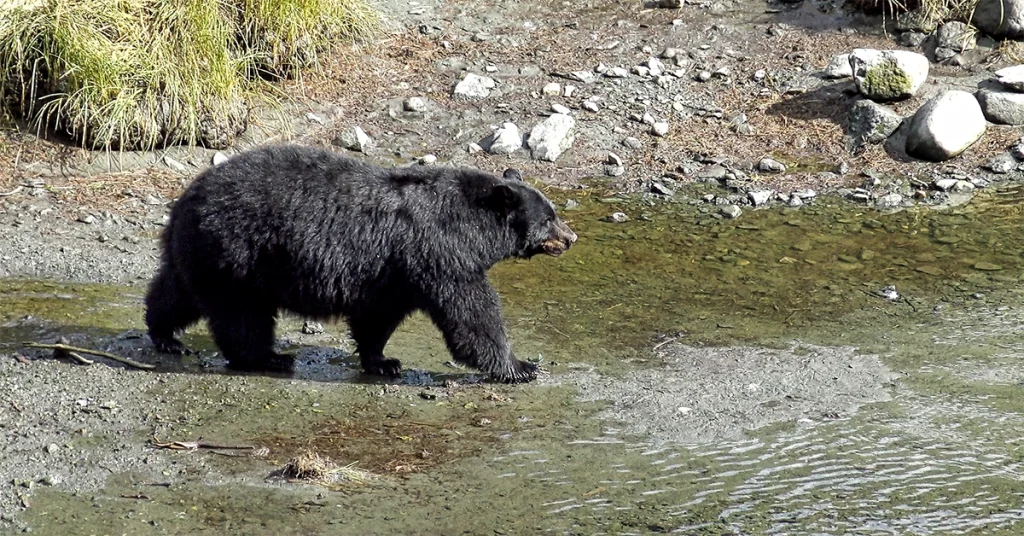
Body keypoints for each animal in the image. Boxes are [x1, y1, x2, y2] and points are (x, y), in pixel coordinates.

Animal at [144, 143, 577, 383]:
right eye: (549, 217)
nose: (571, 237)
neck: (470, 226)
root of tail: (188, 196)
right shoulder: (440, 255)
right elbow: (472, 314)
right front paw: (520, 366)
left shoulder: (394, 272)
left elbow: (377, 317)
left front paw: (382, 360)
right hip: (240, 256)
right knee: (241, 317)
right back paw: (269, 357)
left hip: (203, 254)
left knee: (177, 292)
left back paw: (164, 334)